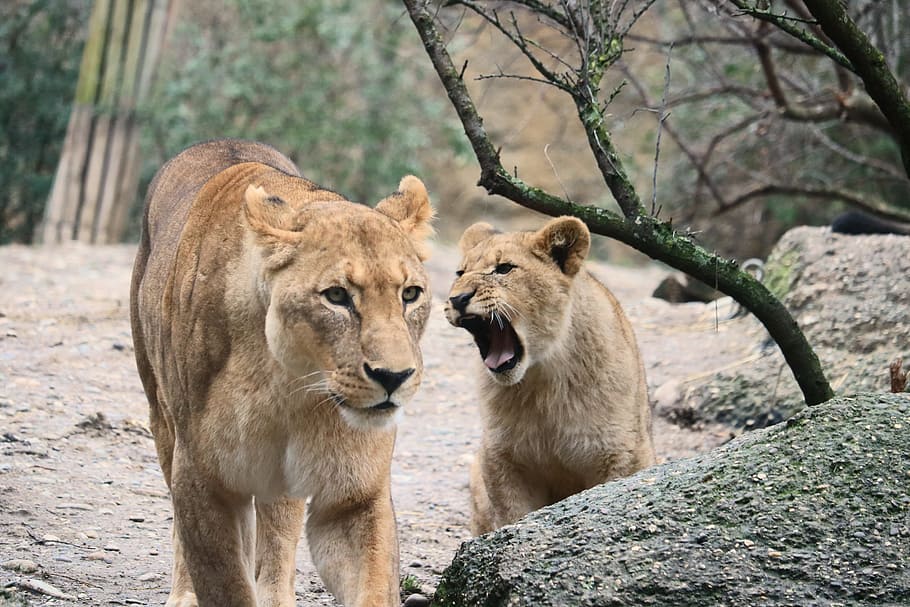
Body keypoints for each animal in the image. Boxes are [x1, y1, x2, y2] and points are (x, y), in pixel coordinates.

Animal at [130, 139, 434, 607]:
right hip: (162, 418)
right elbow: (224, 582)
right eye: (336, 296)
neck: (291, 385)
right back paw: (183, 594)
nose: (394, 376)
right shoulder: (202, 477)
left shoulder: (356, 496)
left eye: (411, 294)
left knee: (277, 533)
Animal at [444, 217, 656, 535]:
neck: (542, 383)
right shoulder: (502, 459)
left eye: (504, 268)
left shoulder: (623, 454)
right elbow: (513, 515)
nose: (457, 298)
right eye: (460, 272)